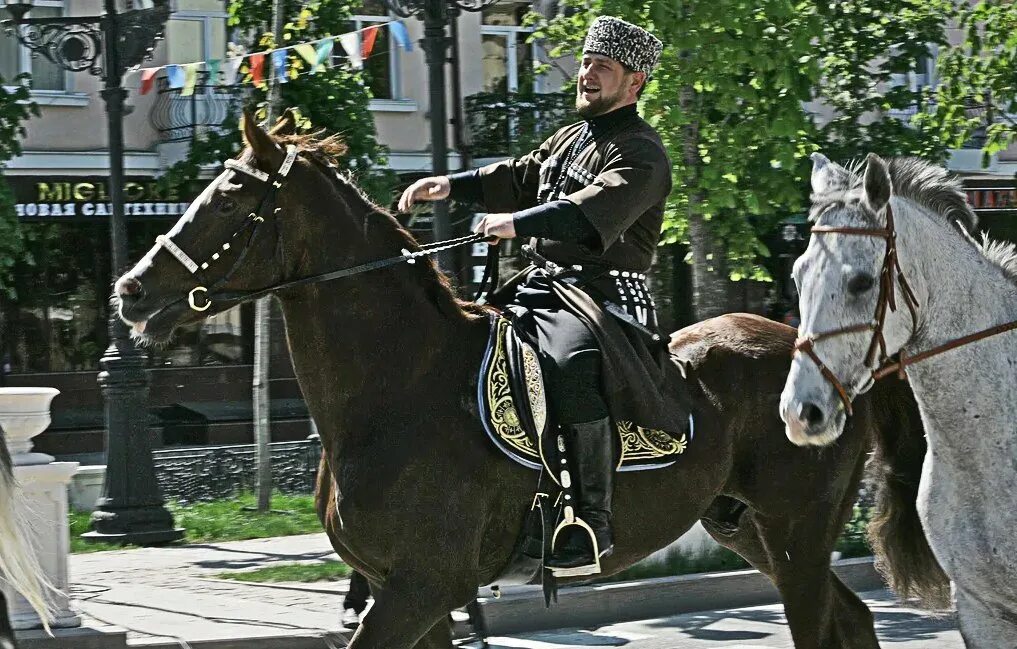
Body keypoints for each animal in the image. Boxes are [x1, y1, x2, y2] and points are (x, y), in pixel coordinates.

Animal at [116, 118, 943, 649]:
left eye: (228, 198)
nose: (131, 290)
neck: (395, 389)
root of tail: (828, 355)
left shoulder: (418, 587)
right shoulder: (409, 593)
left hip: (797, 531)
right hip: (746, 528)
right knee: (852, 621)